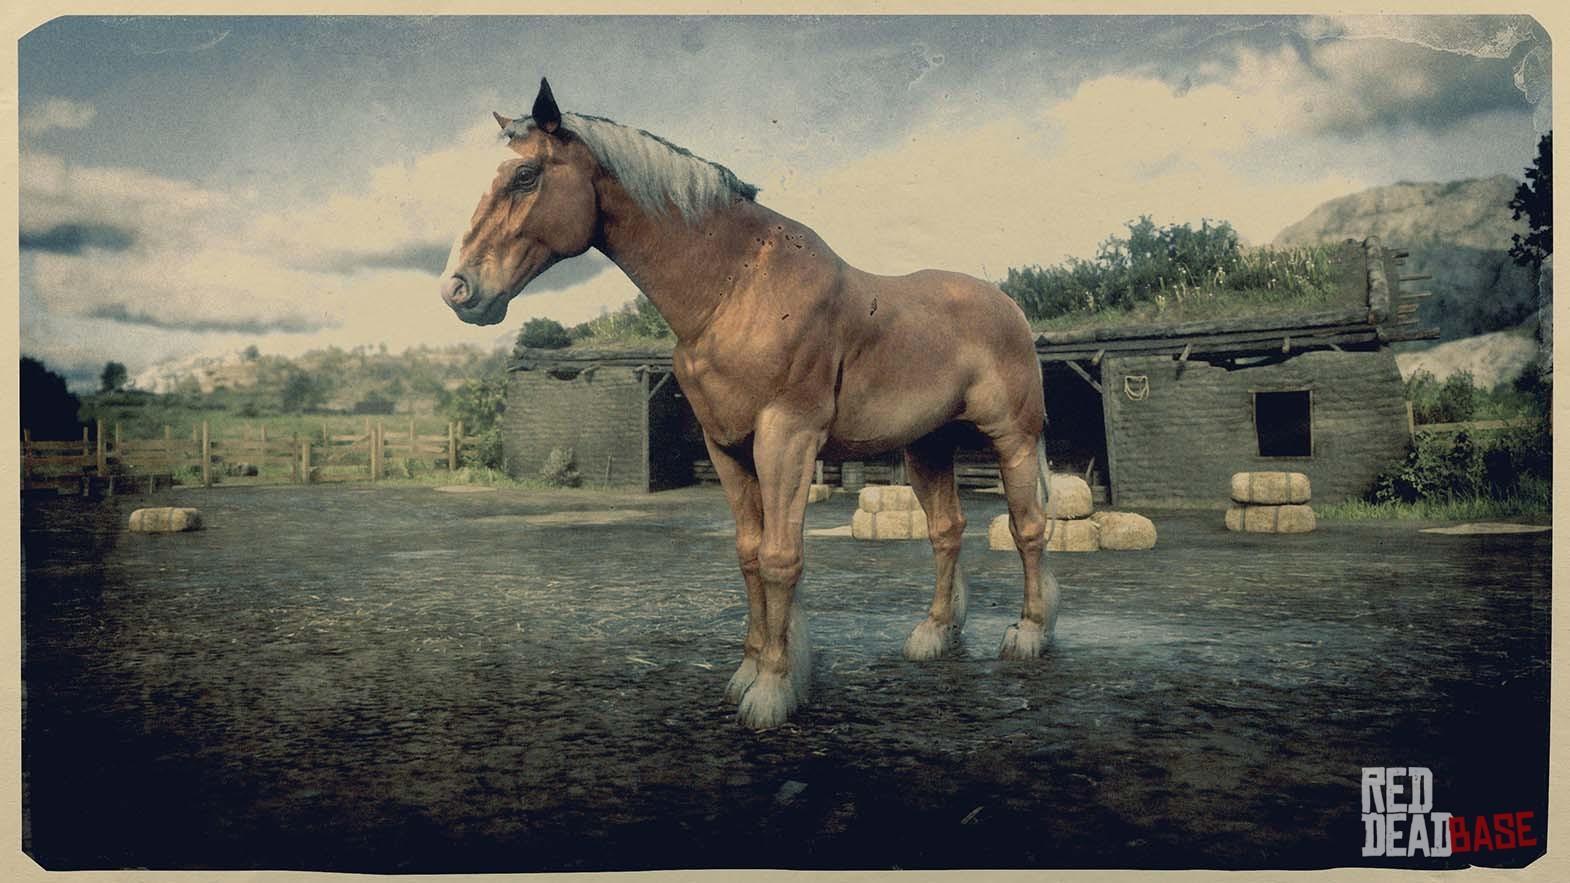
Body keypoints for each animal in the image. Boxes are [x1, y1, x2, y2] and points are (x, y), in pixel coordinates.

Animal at [440, 79, 1060, 730]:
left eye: (526, 174)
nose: (459, 289)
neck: (734, 289)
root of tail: (1010, 309)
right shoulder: (729, 448)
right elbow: (747, 556)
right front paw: (750, 669)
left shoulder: (786, 439)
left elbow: (779, 557)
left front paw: (772, 690)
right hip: (926, 448)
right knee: (947, 531)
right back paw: (935, 633)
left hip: (1013, 440)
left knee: (1027, 527)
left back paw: (1028, 634)